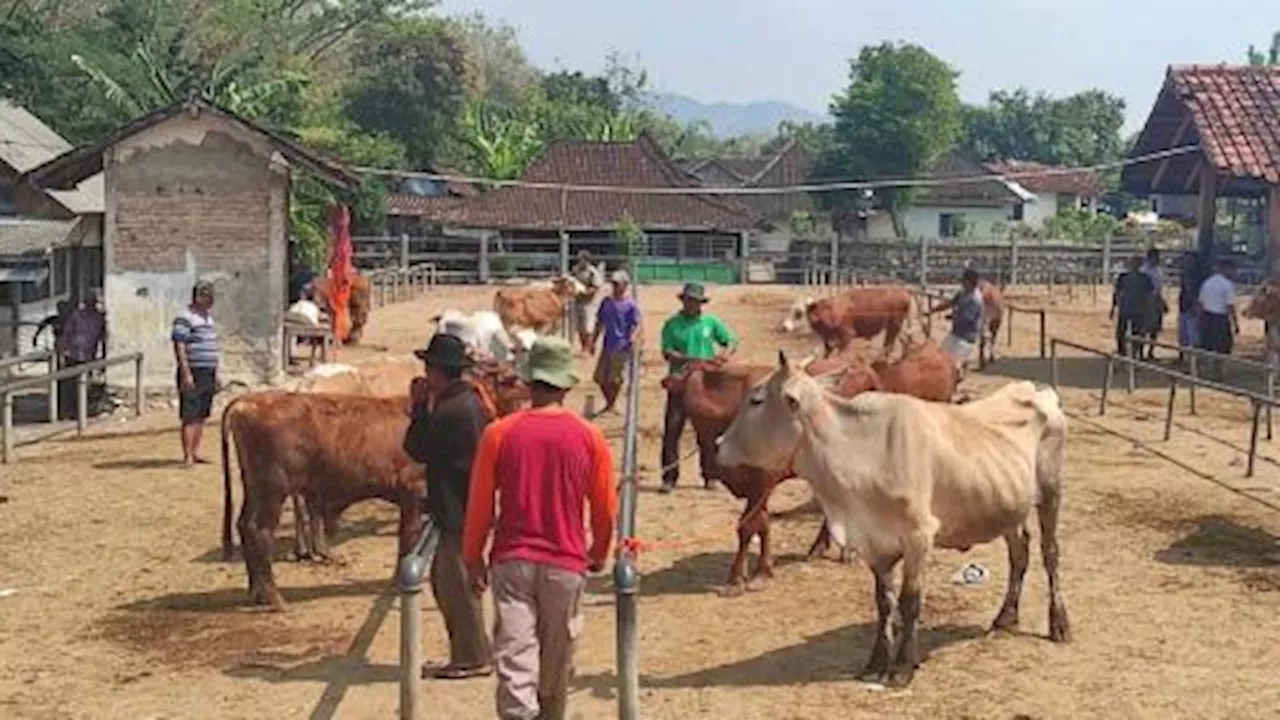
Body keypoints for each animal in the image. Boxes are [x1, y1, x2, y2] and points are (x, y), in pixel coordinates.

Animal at [721, 353, 1070, 681]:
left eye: (756, 399)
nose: (718, 444)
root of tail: (1036, 389)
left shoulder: (919, 536)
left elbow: (909, 600)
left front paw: (902, 667)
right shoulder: (874, 543)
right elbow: (884, 602)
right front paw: (876, 661)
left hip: (1050, 492)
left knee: (1050, 554)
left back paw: (1059, 624)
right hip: (1009, 504)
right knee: (1019, 553)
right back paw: (1006, 618)